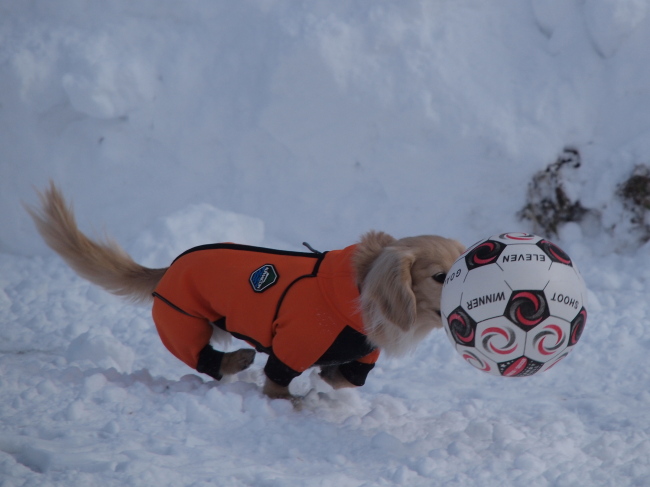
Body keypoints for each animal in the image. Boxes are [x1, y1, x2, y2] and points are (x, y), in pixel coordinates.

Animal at [25, 183, 460, 404]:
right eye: (440, 277)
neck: (353, 296)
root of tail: (168, 267)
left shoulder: (359, 359)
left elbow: (347, 379)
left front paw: (326, 380)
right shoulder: (289, 353)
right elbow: (280, 389)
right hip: (181, 322)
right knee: (202, 358)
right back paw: (235, 359)